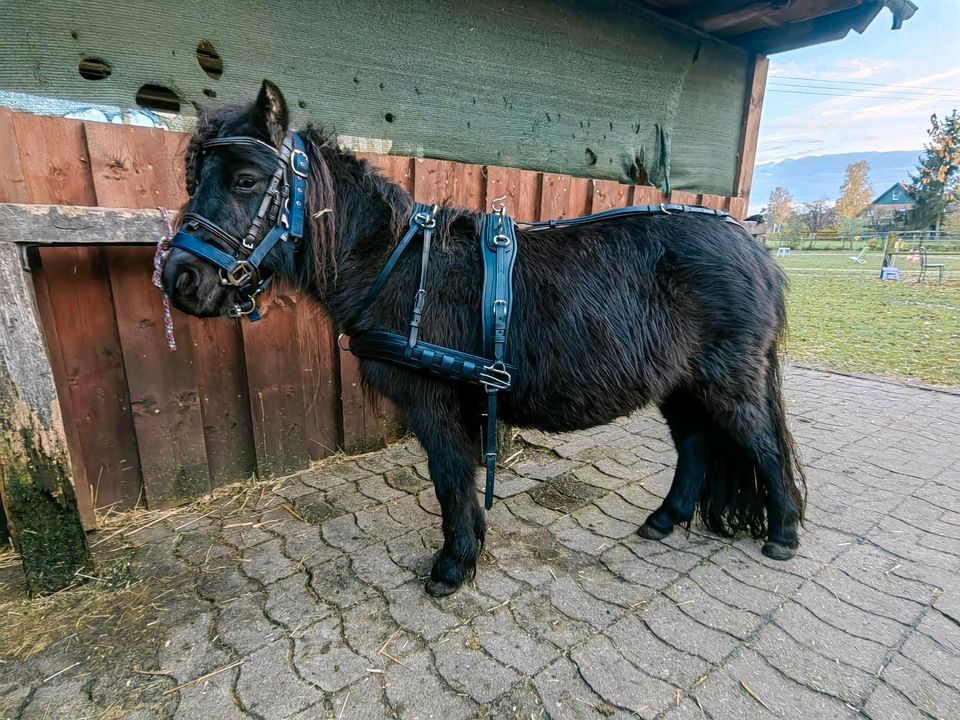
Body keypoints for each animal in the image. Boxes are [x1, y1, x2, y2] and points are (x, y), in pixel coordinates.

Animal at [163, 81, 804, 596]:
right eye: (195, 179)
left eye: (246, 180)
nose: (179, 279)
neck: (399, 267)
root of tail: (752, 245)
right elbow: (457, 482)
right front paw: (467, 552)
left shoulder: (435, 406)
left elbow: (450, 481)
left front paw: (453, 565)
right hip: (681, 384)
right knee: (696, 446)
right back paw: (665, 520)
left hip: (728, 381)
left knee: (762, 445)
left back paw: (783, 533)